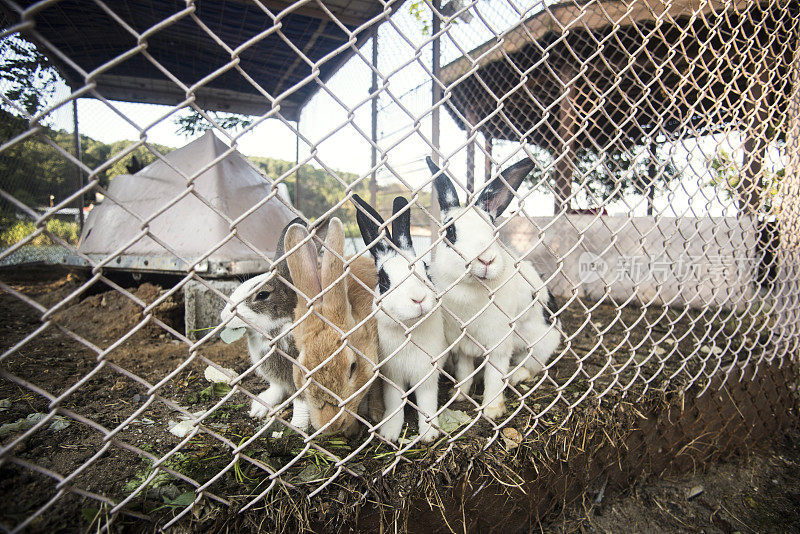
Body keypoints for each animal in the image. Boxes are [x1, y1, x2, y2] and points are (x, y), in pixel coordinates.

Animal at [352, 194, 446, 444]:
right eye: (384, 280)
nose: (418, 298)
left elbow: (427, 403)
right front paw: (390, 433)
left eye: (425, 269)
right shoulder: (392, 377)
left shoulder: (427, 376)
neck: (410, 332)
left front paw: (429, 434)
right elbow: (395, 403)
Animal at [424, 157, 564, 420]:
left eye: (493, 231)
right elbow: (465, 371)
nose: (486, 260)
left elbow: (495, 375)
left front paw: (492, 410)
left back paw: (516, 376)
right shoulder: (462, 346)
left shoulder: (499, 345)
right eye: (450, 232)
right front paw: (459, 395)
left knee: (531, 368)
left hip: (540, 345)